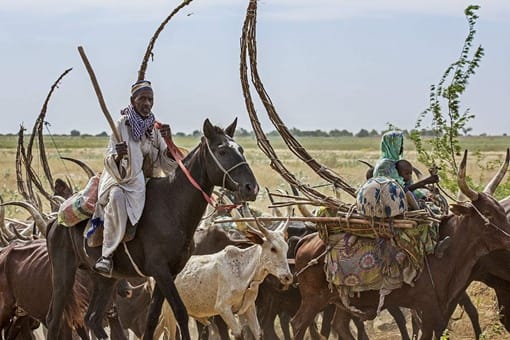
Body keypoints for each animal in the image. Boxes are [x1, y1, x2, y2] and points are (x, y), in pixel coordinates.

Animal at [45, 118, 258, 338]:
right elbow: (180, 312)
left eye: (240, 149)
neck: (172, 206)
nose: (251, 188)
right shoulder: (160, 270)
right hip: (63, 274)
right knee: (54, 320)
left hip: (105, 279)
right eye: (222, 150)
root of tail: (55, 222)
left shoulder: (170, 272)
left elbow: (152, 317)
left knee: (92, 318)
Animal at [157, 222, 292, 338]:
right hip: (169, 312)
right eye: (273, 248)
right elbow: (238, 334)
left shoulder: (249, 308)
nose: (288, 277)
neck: (242, 271)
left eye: (286, 248)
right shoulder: (223, 309)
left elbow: (258, 333)